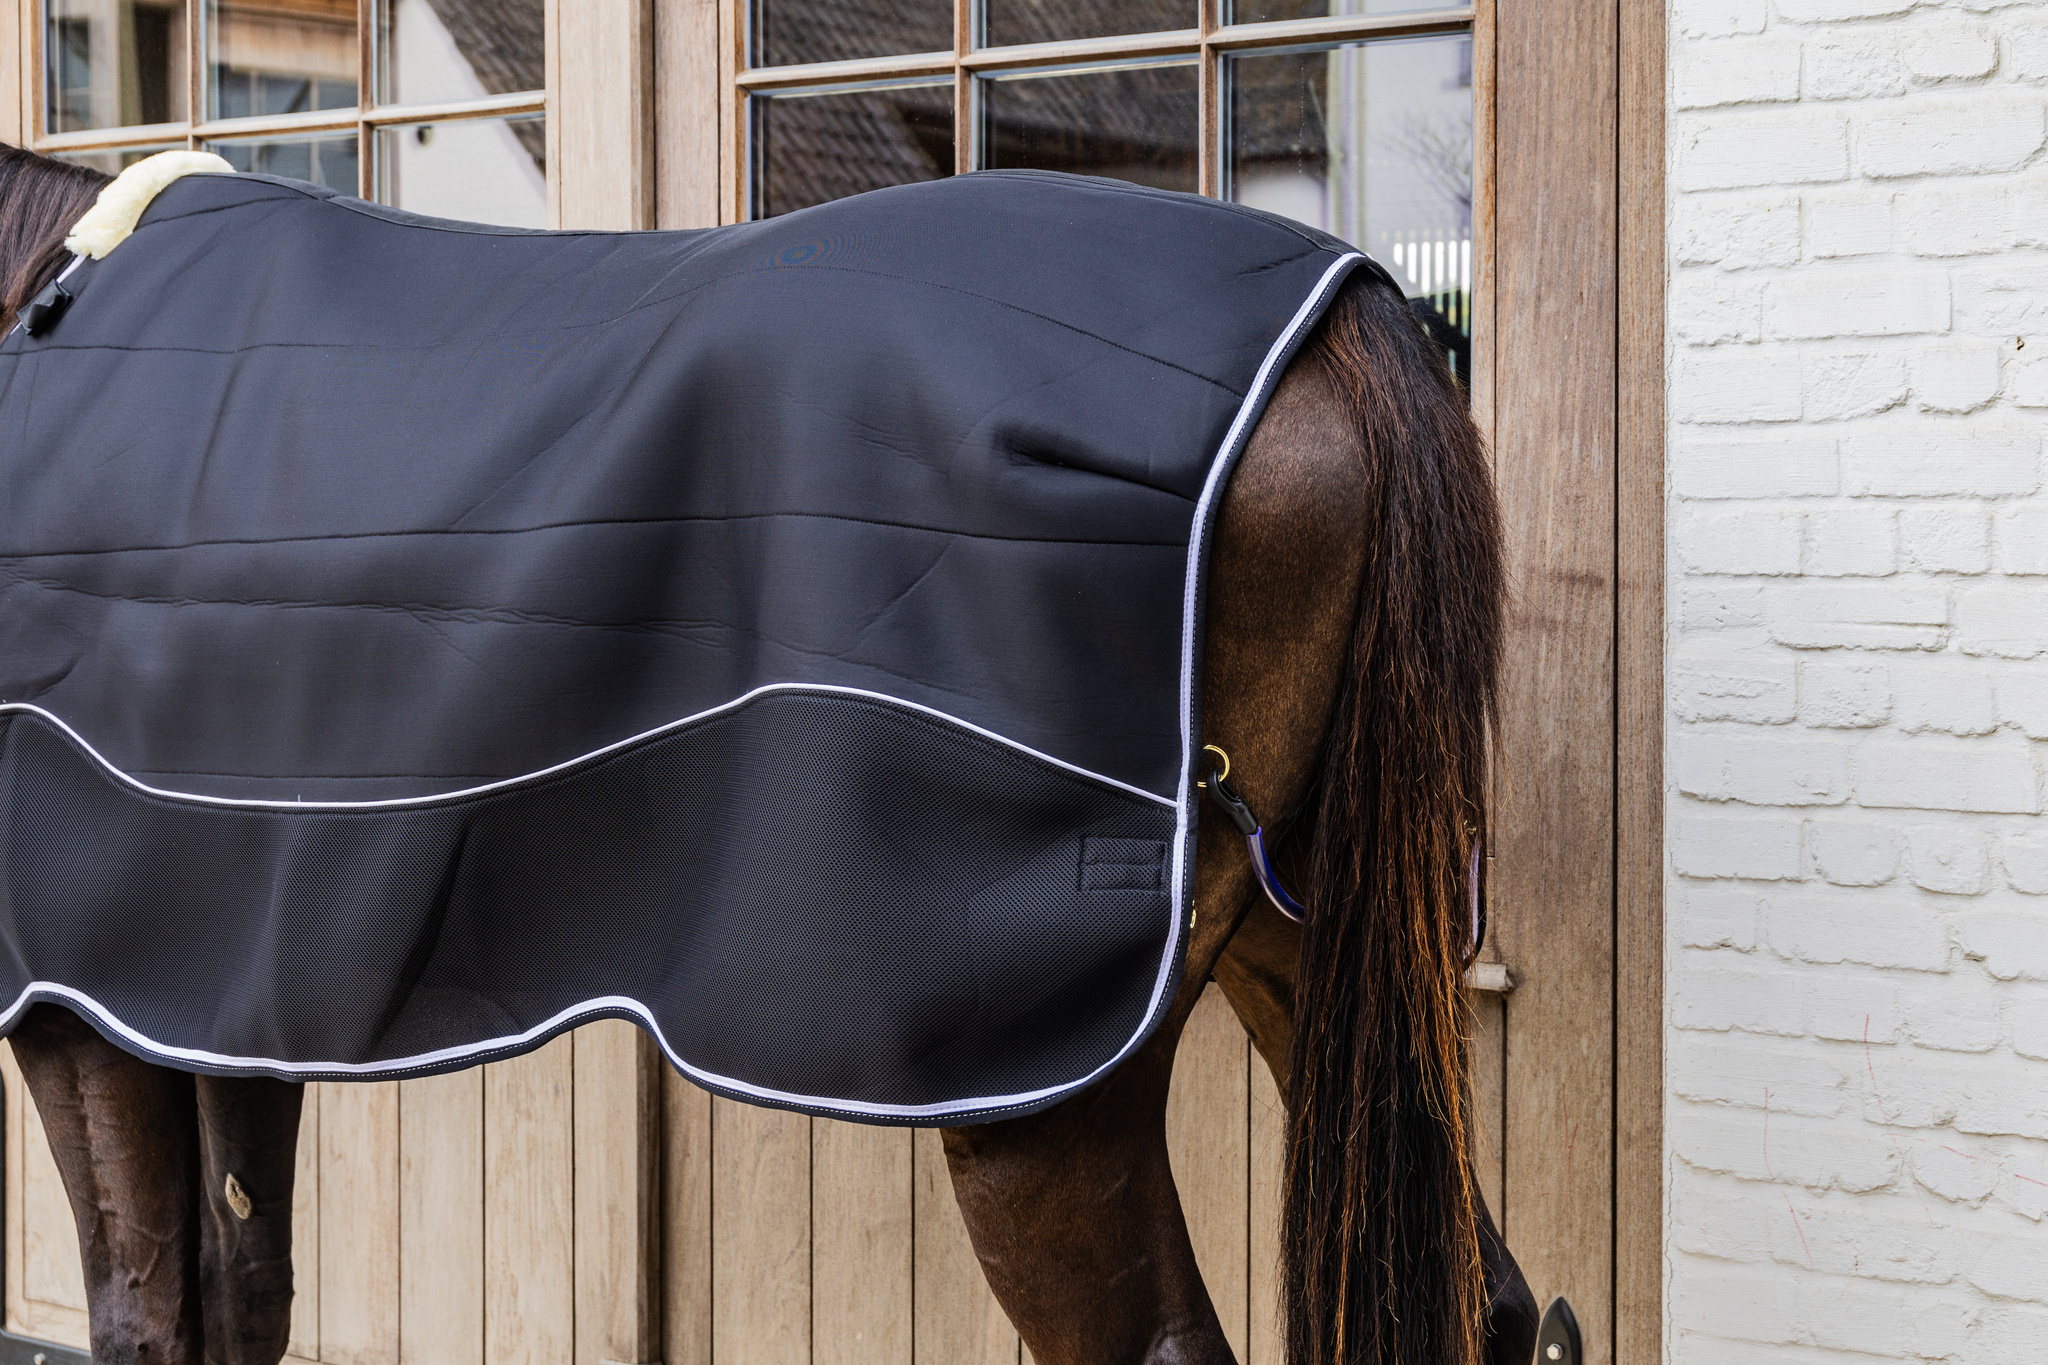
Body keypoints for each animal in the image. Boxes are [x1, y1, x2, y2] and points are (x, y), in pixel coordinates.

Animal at [0, 141, 1538, 1365]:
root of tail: (1342, 320)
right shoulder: (210, 993)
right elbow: (240, 1290)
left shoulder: (73, 998)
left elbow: (142, 1309)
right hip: (1309, 942)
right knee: (1497, 1303)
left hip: (1046, 1087)